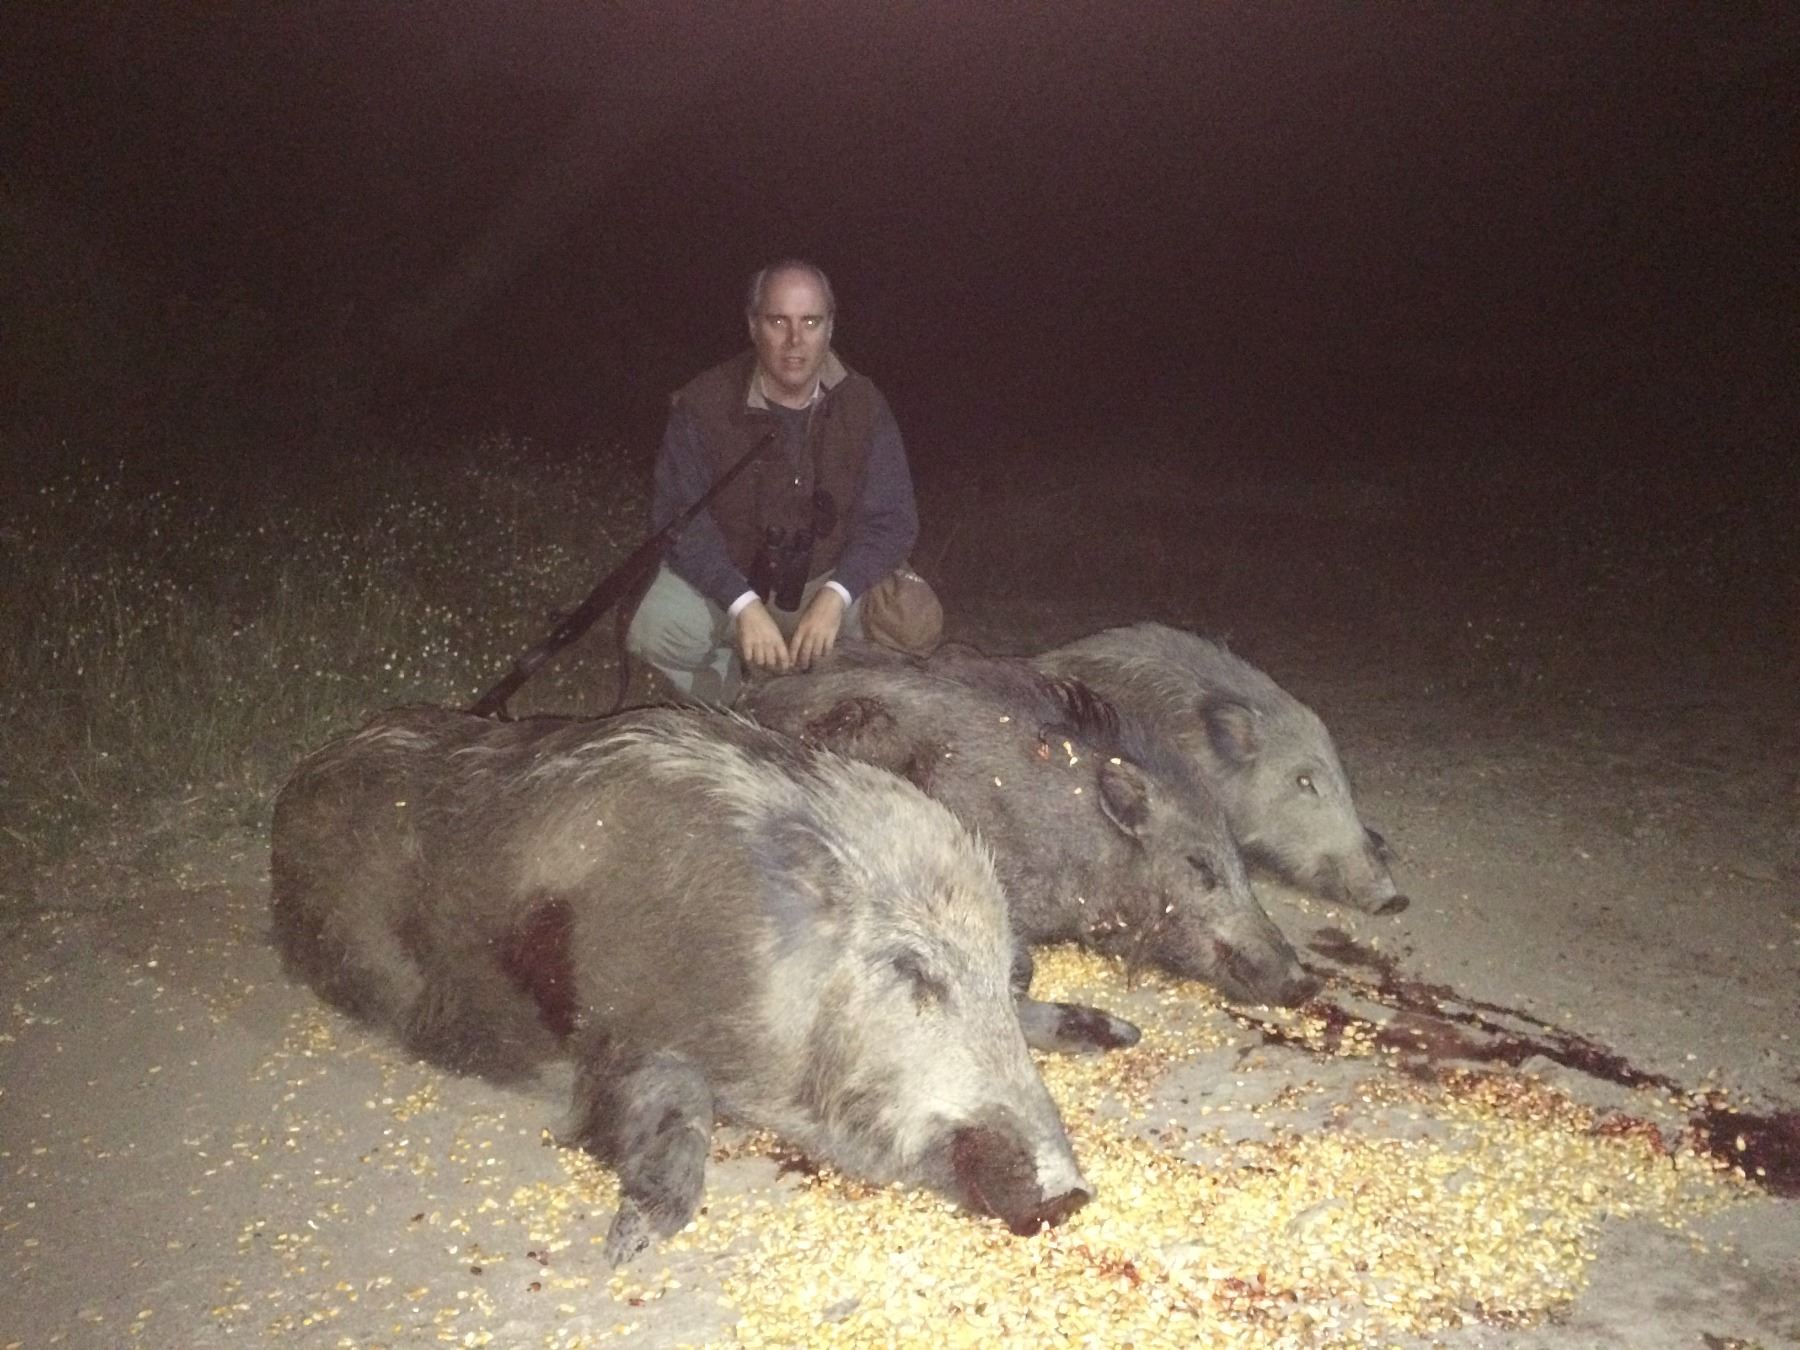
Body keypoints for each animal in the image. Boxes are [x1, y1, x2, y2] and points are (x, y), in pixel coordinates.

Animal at [270, 704, 1090, 1265]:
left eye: (1007, 967)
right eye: (914, 971)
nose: (1071, 1194)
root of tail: (297, 784)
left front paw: (1104, 1029)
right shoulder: (611, 1029)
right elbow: (671, 1096)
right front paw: (630, 1243)